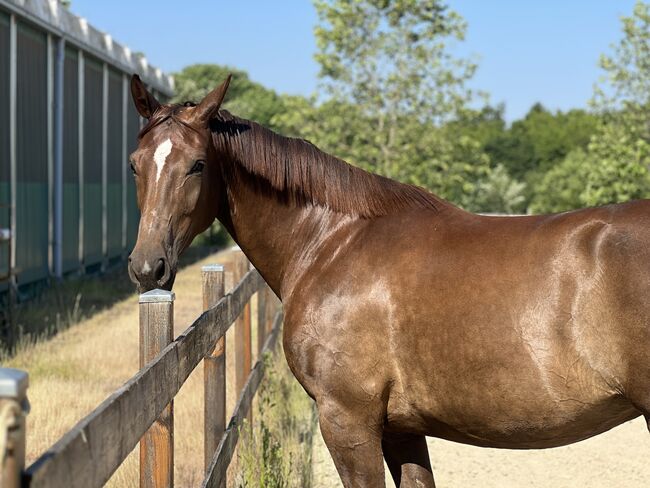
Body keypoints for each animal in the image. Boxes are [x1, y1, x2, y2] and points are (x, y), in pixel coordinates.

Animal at [126, 74, 648, 486]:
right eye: (135, 163)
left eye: (197, 164)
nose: (147, 266)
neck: (331, 242)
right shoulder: (402, 427)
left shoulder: (348, 420)